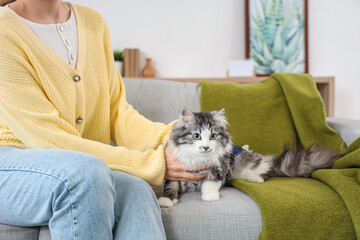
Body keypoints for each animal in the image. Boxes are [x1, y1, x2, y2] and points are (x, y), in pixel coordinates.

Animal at [159, 109, 338, 208]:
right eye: (196, 136)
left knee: (263, 170)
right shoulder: (174, 174)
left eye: (213, 136)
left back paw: (256, 178)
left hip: (242, 162)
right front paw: (166, 201)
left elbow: (209, 183)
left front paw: (210, 197)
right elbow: (170, 189)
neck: (199, 159)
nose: (206, 147)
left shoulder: (219, 168)